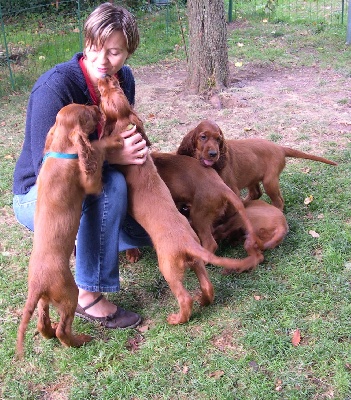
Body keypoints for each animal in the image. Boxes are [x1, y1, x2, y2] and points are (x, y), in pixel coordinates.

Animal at [16, 103, 124, 360]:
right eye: (88, 112)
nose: (96, 106)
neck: (60, 151)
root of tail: (37, 285)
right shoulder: (91, 183)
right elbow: (97, 149)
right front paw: (112, 139)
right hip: (68, 294)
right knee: (63, 330)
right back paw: (81, 340)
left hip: (45, 299)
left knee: (43, 323)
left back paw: (52, 332)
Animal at [98, 75, 264, 324]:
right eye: (116, 88)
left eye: (104, 97)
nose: (106, 77)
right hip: (195, 253)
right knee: (207, 286)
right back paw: (203, 300)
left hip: (173, 262)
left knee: (185, 296)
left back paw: (176, 318)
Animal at [179, 119, 338, 211]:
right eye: (203, 137)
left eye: (218, 139)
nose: (213, 154)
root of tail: (280, 148)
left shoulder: (231, 188)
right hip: (252, 175)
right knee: (256, 193)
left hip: (269, 181)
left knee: (278, 201)